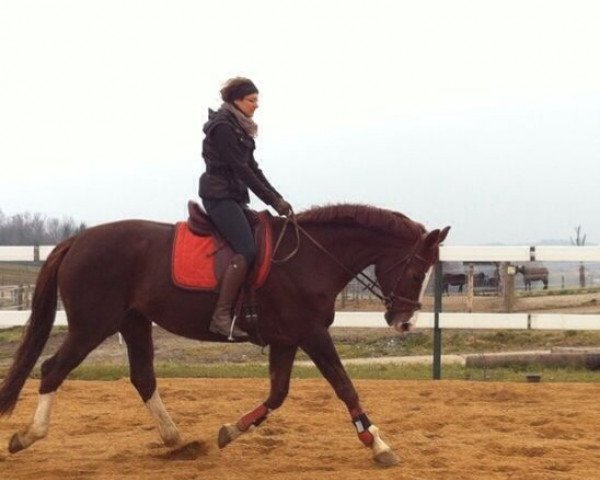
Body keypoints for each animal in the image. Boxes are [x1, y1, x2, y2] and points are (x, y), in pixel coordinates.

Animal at [0, 204, 448, 466]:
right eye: (415, 272)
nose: (404, 323)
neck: (310, 257)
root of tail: (77, 239)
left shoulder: (287, 338)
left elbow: (278, 393)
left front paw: (231, 431)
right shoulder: (311, 333)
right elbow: (344, 385)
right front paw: (377, 444)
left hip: (133, 322)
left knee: (142, 377)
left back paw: (177, 440)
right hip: (93, 324)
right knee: (52, 369)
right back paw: (27, 436)